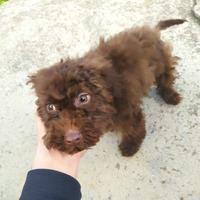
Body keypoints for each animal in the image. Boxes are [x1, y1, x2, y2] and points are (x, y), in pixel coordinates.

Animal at [28, 19, 185, 156]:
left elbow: (135, 129)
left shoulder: (130, 112)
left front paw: (130, 147)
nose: (72, 138)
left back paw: (171, 96)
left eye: (83, 98)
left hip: (162, 61)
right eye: (50, 107)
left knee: (166, 77)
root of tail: (151, 29)